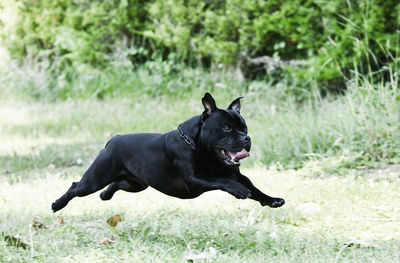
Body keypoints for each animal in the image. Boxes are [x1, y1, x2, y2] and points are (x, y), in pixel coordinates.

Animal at [52, 94, 284, 213]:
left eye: (244, 128)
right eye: (227, 128)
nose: (246, 138)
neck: (198, 146)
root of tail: (113, 139)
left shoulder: (237, 174)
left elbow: (254, 188)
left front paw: (271, 200)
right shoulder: (194, 178)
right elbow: (221, 180)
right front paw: (238, 190)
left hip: (136, 184)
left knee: (116, 184)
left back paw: (105, 195)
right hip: (94, 179)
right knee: (76, 186)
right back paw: (57, 205)